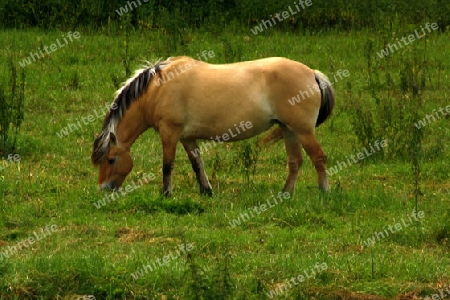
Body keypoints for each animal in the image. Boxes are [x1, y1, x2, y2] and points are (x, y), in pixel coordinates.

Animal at [91, 55, 336, 197]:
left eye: (111, 159)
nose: (103, 188)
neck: (158, 87)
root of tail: (312, 73)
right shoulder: (187, 137)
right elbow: (197, 163)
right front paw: (206, 190)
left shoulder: (170, 133)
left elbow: (168, 165)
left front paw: (167, 194)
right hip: (288, 130)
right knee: (295, 161)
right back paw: (286, 193)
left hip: (303, 131)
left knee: (318, 158)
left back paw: (324, 192)